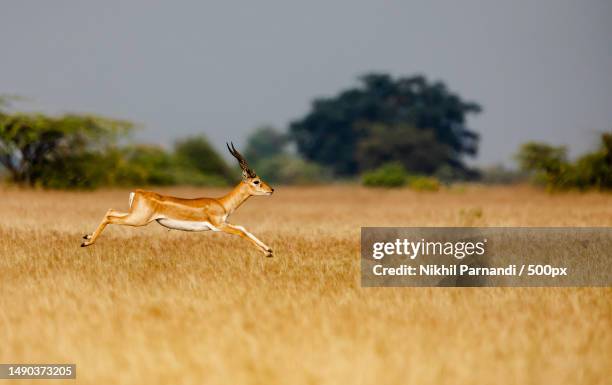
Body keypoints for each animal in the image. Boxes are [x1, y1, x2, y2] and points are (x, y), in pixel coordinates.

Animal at [80, 142, 274, 256]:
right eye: (256, 181)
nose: (271, 190)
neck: (221, 203)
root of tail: (137, 191)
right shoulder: (218, 226)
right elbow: (241, 232)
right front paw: (267, 252)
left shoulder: (225, 223)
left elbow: (243, 228)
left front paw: (269, 250)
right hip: (138, 220)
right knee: (110, 217)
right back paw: (87, 242)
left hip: (133, 215)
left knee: (110, 211)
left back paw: (86, 237)